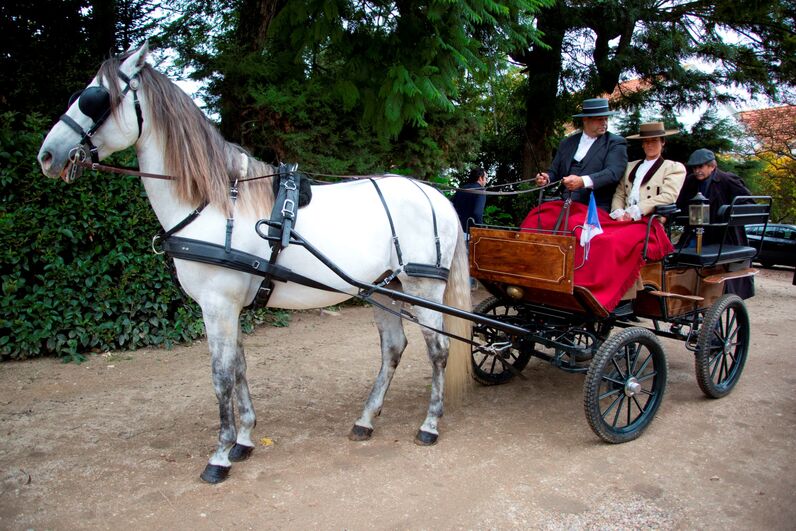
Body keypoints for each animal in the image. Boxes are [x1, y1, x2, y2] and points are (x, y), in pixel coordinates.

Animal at [37, 43, 472, 484]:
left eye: (96, 98)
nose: (47, 155)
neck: (212, 201)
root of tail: (435, 195)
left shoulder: (217, 303)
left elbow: (221, 375)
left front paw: (219, 455)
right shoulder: (229, 305)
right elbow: (240, 366)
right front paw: (244, 439)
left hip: (422, 289)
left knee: (438, 351)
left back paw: (429, 425)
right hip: (383, 289)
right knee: (393, 348)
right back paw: (365, 419)